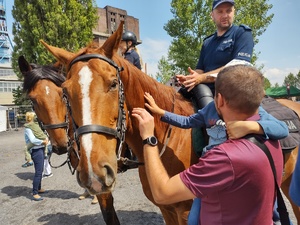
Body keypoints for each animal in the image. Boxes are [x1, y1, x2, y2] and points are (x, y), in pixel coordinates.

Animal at [40, 22, 300, 223]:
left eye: (113, 83)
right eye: (65, 91)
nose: (93, 173)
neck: (169, 137)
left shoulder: (185, 212)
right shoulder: (167, 209)